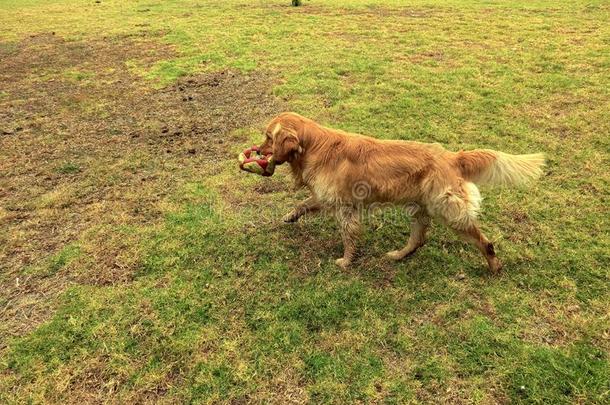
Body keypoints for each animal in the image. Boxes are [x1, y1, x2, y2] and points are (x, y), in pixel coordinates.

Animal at [256, 112, 540, 274]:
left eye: (269, 137)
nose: (257, 151)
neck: (315, 145)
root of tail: (453, 157)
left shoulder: (345, 208)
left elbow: (349, 238)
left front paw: (346, 262)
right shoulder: (326, 198)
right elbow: (303, 204)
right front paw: (289, 217)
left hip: (450, 213)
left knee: (485, 242)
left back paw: (494, 267)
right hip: (421, 210)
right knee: (418, 240)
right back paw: (398, 255)